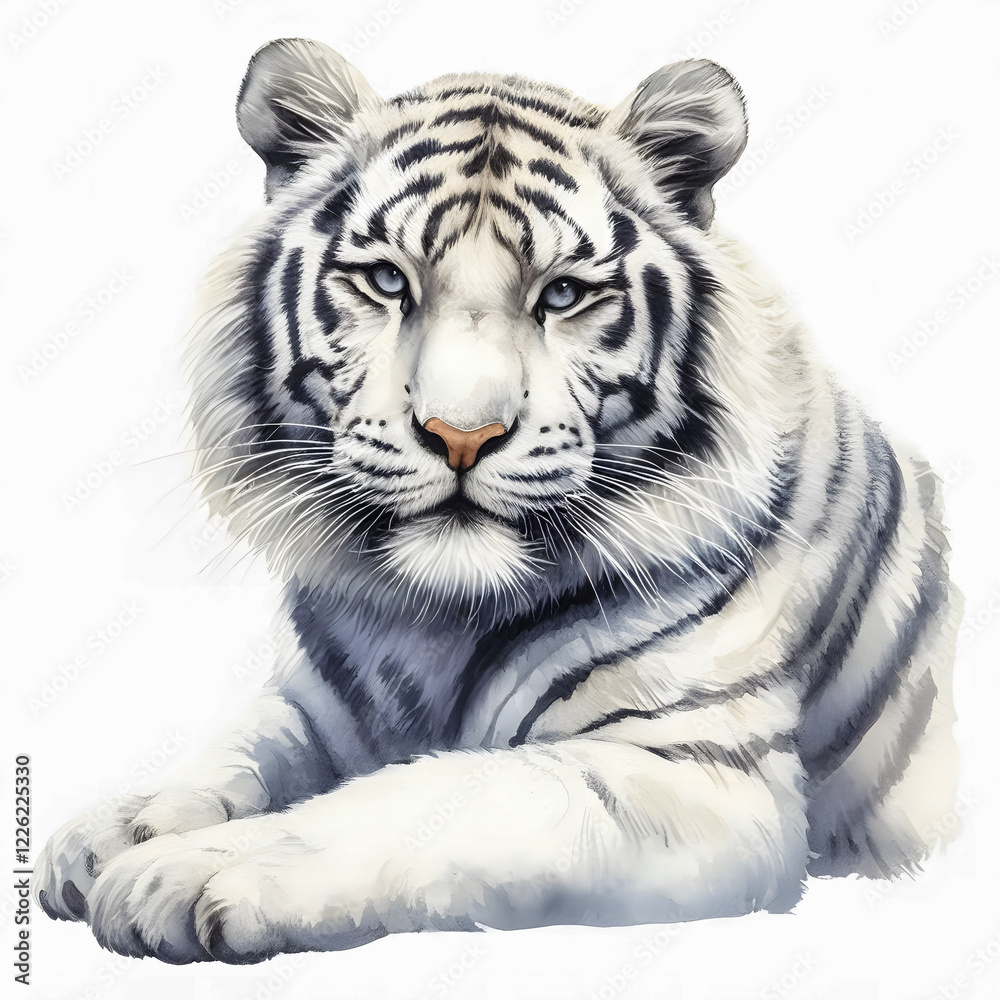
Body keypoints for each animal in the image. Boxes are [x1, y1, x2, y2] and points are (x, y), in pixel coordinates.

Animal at [34, 37, 961, 964]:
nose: (461, 435)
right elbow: (236, 753)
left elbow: (422, 799)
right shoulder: (316, 703)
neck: (429, 621)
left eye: (563, 294)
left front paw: (185, 870)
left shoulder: (695, 771)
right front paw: (115, 829)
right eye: (386, 280)